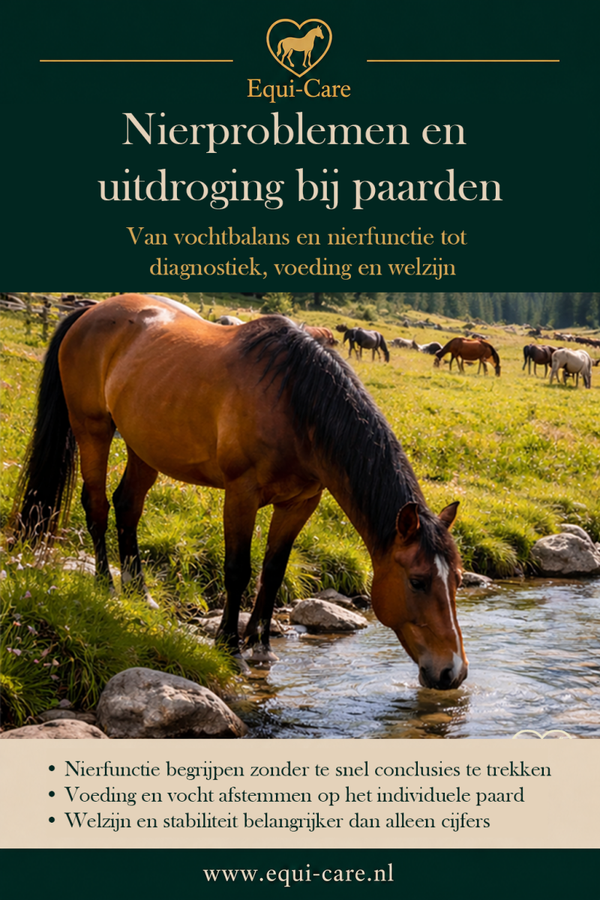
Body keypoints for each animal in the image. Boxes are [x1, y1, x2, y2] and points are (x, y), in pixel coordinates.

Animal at [12, 294, 467, 690]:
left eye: (458, 581)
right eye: (418, 581)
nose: (453, 672)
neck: (294, 403)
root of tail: (91, 311)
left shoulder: (300, 503)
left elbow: (274, 570)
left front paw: (261, 645)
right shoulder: (241, 494)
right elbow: (238, 570)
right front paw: (230, 647)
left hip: (145, 447)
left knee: (128, 507)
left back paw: (141, 593)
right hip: (92, 429)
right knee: (97, 506)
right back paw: (106, 587)